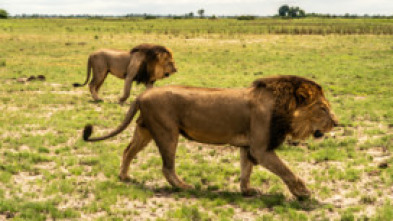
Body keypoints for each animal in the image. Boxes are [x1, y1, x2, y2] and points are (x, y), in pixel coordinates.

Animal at [82, 75, 336, 199]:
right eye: (323, 108)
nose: (336, 122)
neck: (285, 107)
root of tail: (141, 95)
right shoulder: (262, 149)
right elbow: (287, 171)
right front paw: (304, 193)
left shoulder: (248, 147)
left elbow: (246, 170)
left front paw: (247, 191)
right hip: (167, 132)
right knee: (167, 167)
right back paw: (184, 186)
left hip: (144, 130)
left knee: (128, 151)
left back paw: (124, 176)